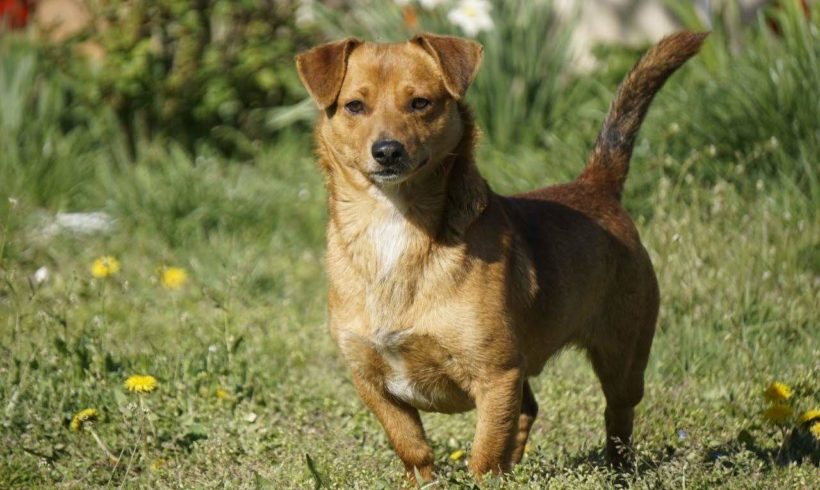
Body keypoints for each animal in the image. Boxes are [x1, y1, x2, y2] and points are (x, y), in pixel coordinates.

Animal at [296, 30, 706, 481]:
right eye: (354, 106)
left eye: (420, 103)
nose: (387, 151)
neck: (394, 224)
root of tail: (596, 185)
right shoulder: (370, 381)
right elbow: (412, 447)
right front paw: (424, 481)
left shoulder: (496, 376)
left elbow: (484, 454)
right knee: (529, 409)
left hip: (623, 358)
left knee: (617, 417)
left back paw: (618, 472)